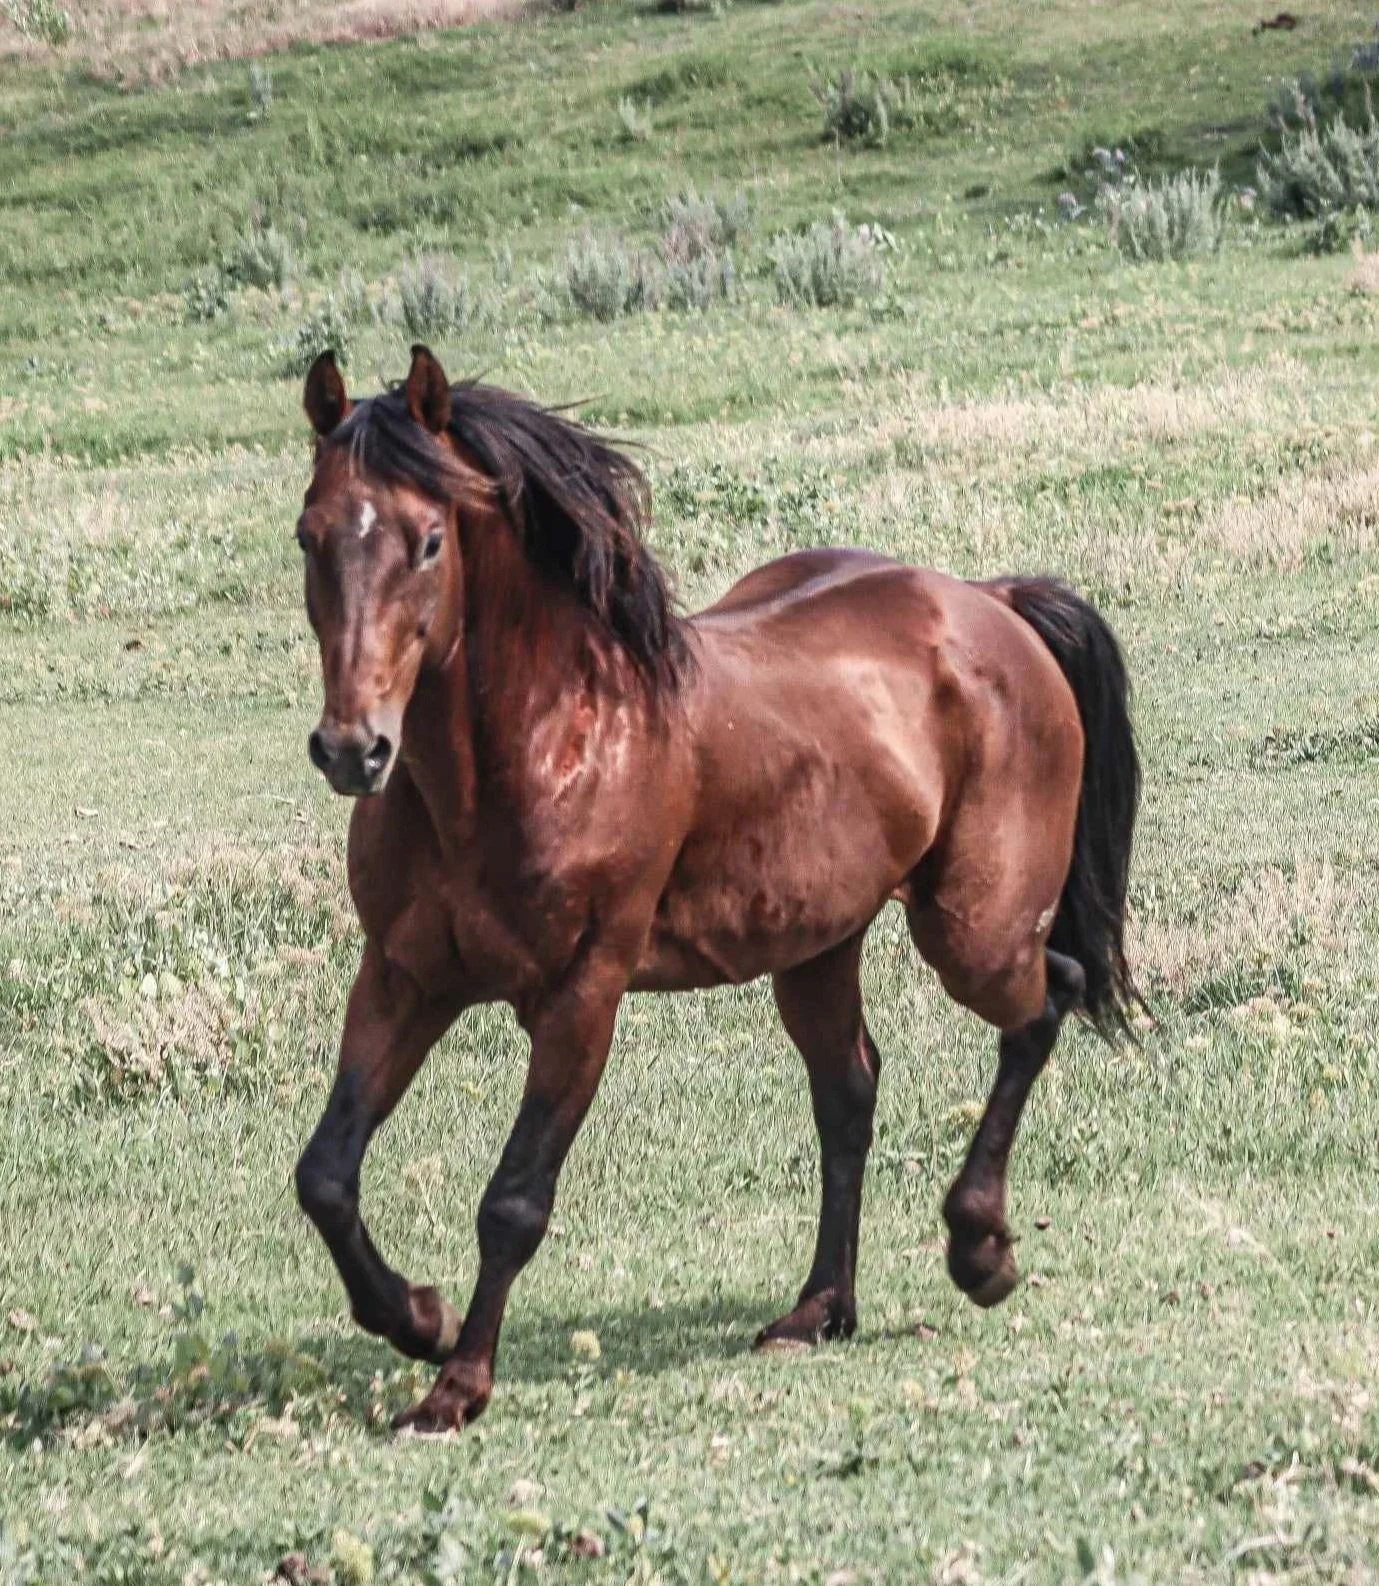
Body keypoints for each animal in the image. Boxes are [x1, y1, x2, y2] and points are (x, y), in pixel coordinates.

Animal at [291, 344, 1141, 1433]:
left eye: (429, 539)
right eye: (308, 535)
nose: (352, 748)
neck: (532, 751)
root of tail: (986, 600)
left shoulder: (581, 995)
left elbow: (514, 1198)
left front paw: (458, 1381)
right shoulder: (404, 977)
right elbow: (326, 1174)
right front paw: (417, 1317)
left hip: (974, 932)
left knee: (1046, 998)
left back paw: (978, 1249)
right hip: (817, 944)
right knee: (849, 1089)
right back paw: (819, 1307)